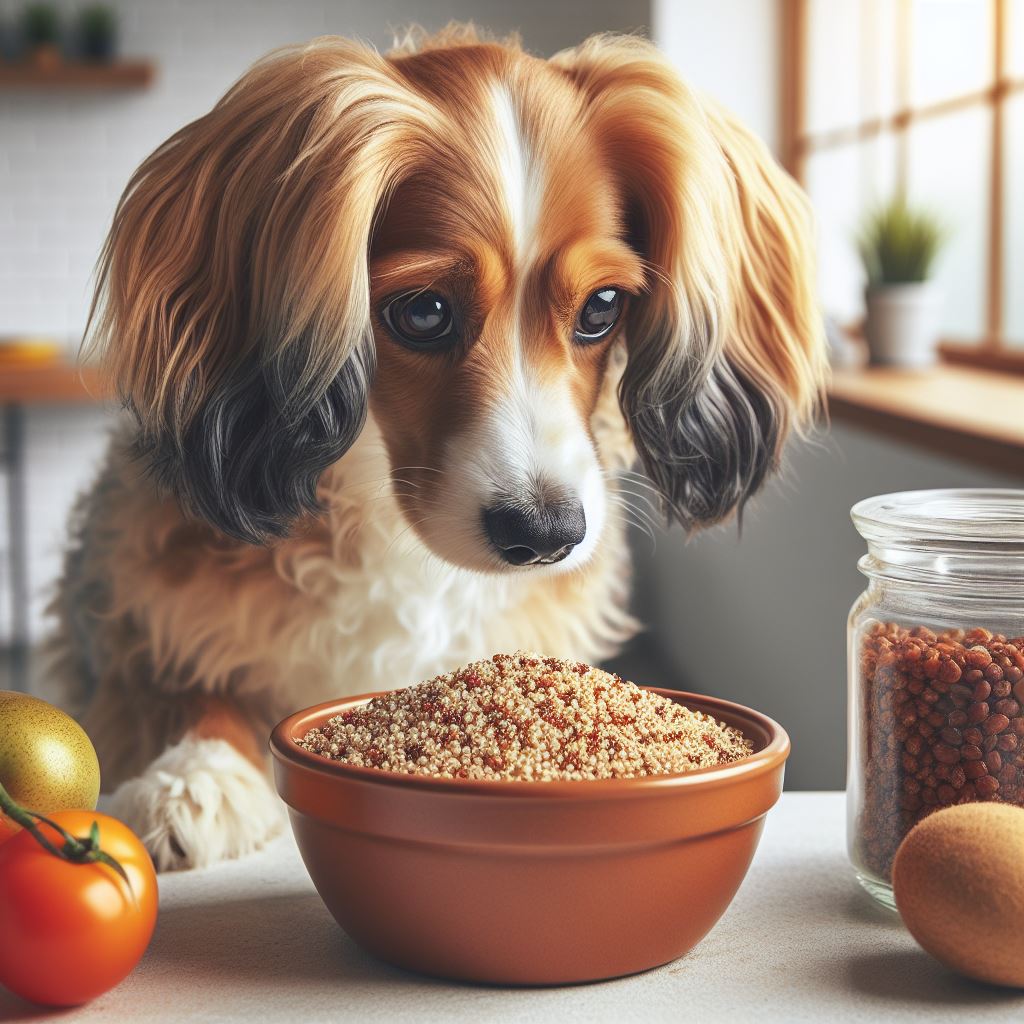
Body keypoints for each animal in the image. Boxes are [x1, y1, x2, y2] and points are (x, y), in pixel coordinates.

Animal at [48, 25, 827, 872]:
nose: (545, 535)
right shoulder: (125, 616)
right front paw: (196, 775)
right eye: (422, 312)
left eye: (602, 308)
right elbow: (186, 689)